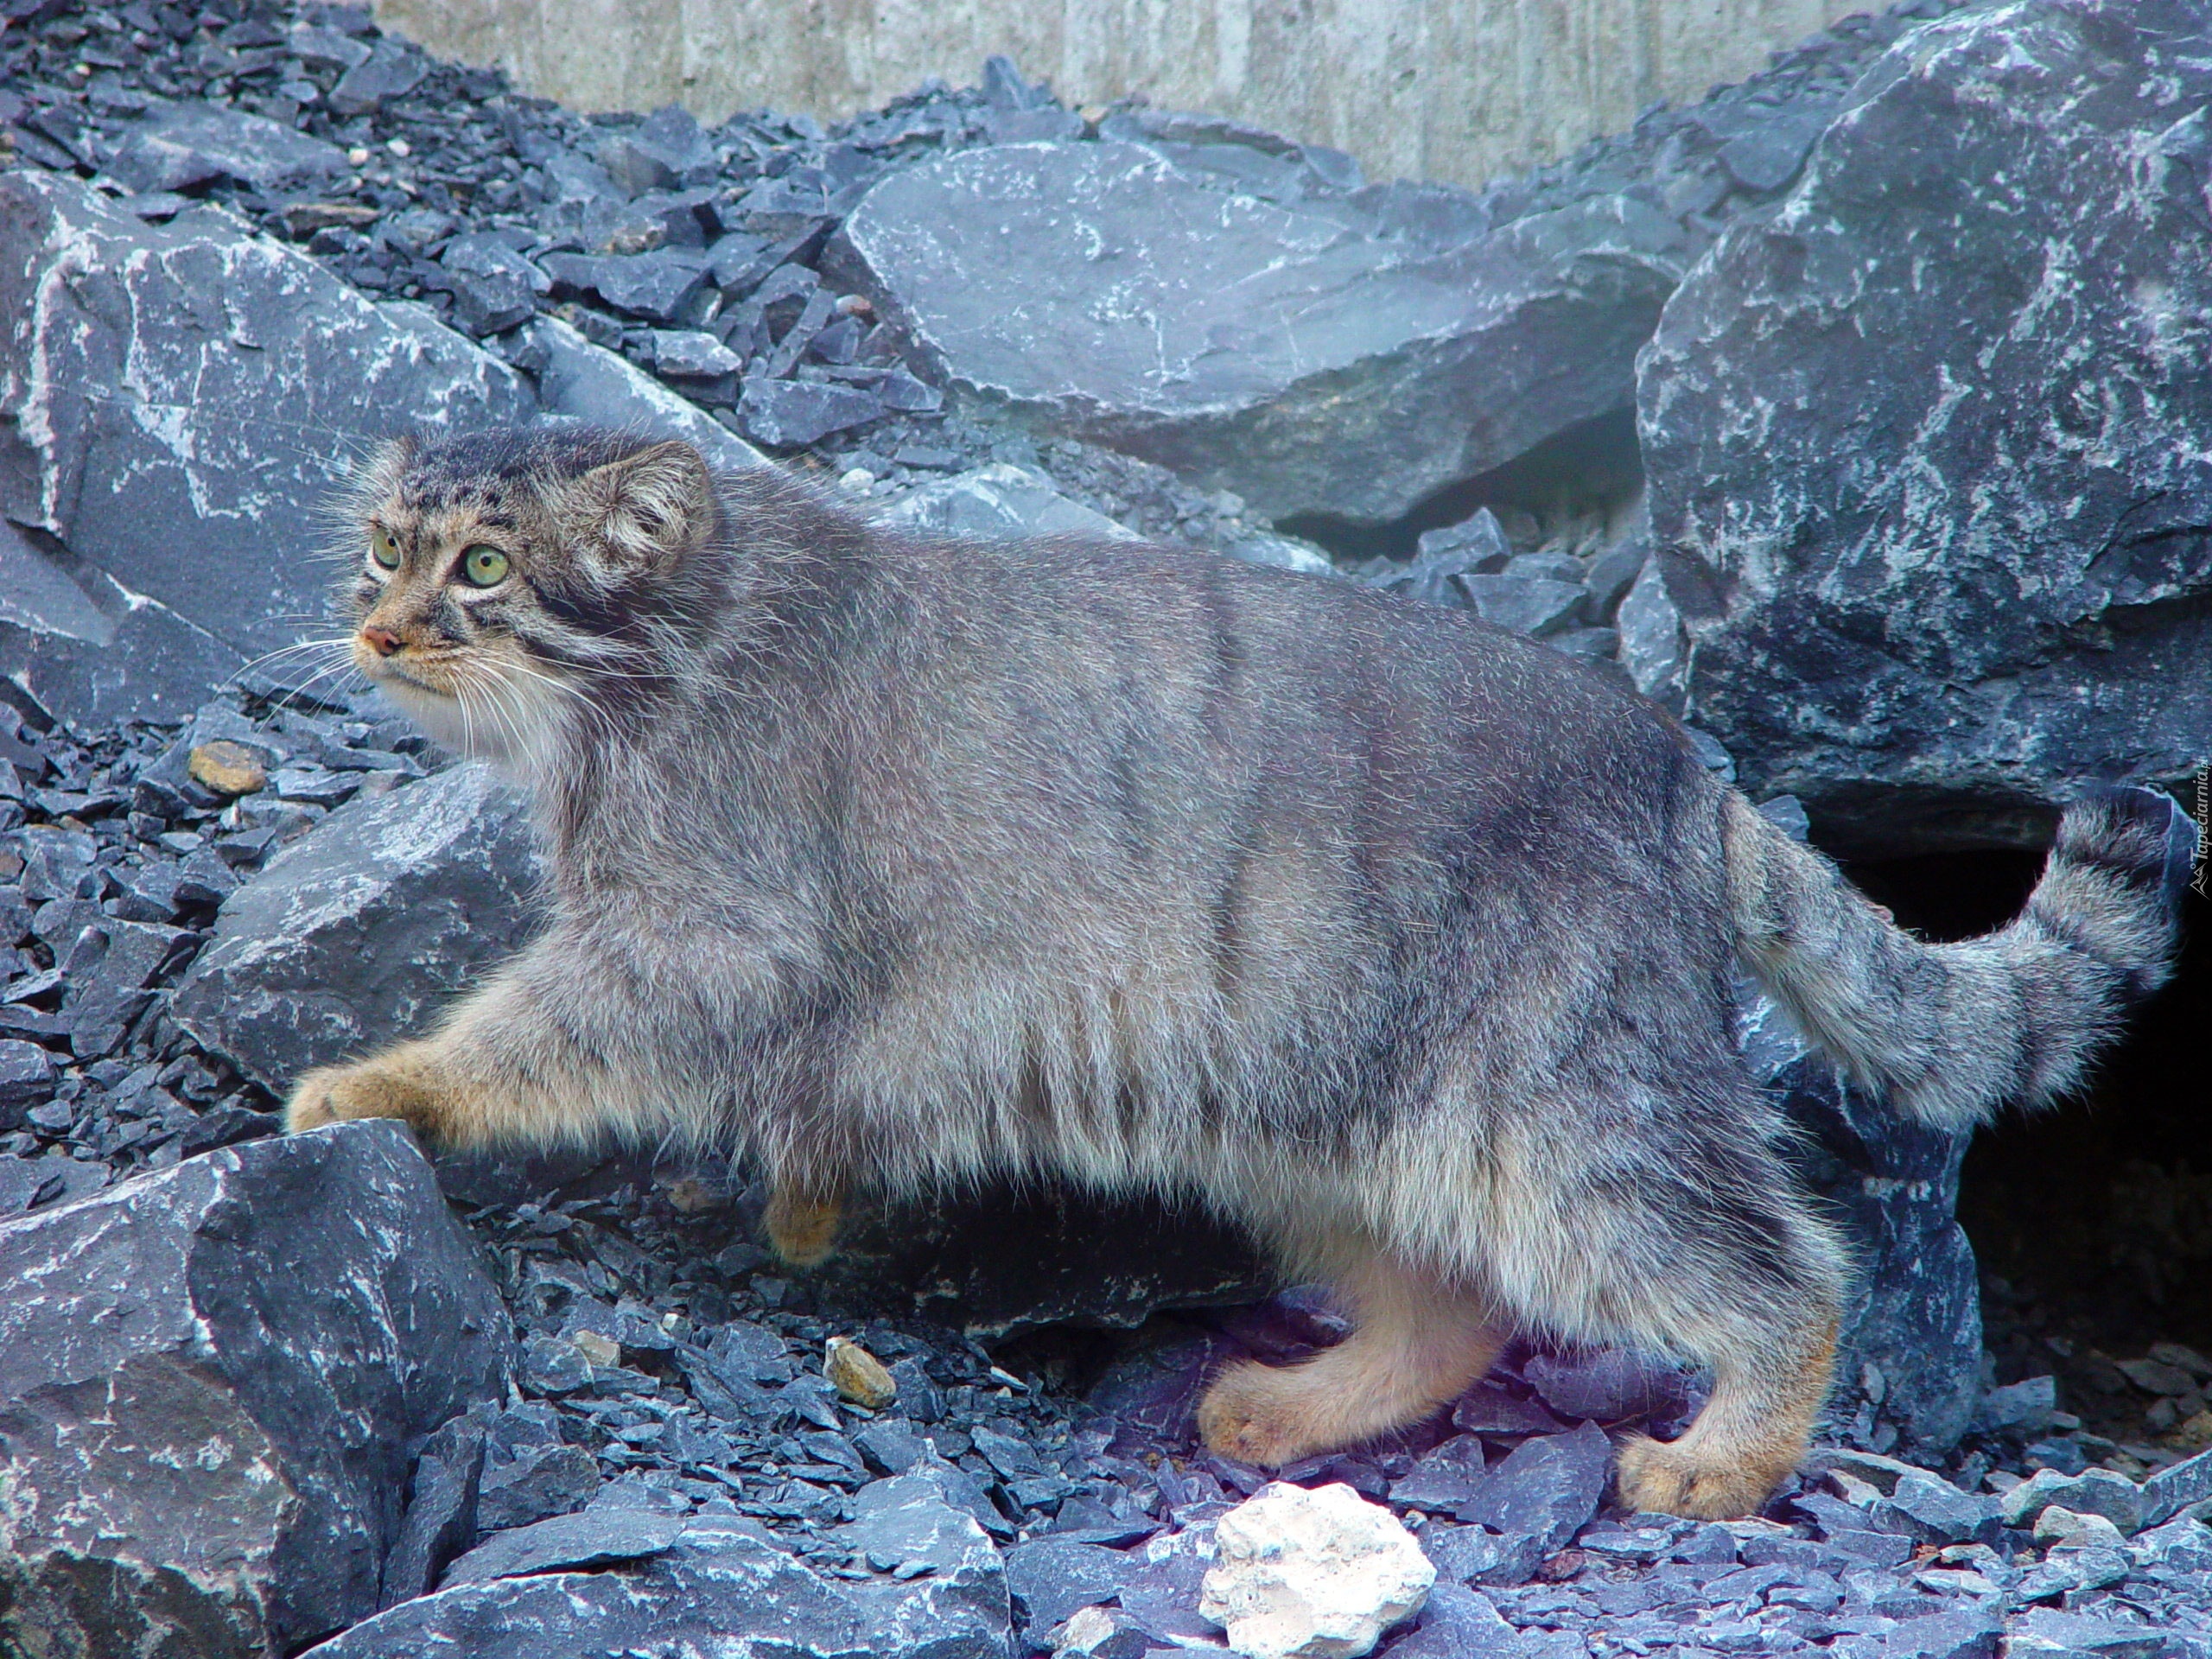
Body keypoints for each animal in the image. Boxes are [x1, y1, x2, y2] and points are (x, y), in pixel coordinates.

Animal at [294, 424, 2194, 1522]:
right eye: (381, 547)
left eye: (481, 568)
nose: (370, 629)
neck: (677, 650)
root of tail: (1689, 773)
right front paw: (802, 1205)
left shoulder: (699, 931)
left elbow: (532, 1029)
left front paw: (383, 1084)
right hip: (1308, 1115)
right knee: (1446, 1310)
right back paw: (1297, 1412)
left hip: (1565, 1109)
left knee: (1778, 1271)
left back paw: (1725, 1455)